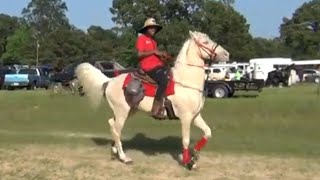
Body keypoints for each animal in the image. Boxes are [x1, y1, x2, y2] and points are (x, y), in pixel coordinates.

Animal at [75, 30, 230, 169]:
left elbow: (208, 132)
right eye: (205, 42)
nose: (226, 54)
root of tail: (109, 81)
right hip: (122, 111)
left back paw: (114, 152)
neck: (185, 81)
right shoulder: (185, 118)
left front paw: (195, 155)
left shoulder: (196, 116)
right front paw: (188, 162)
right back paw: (124, 157)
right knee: (117, 129)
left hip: (129, 110)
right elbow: (185, 141)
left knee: (112, 125)